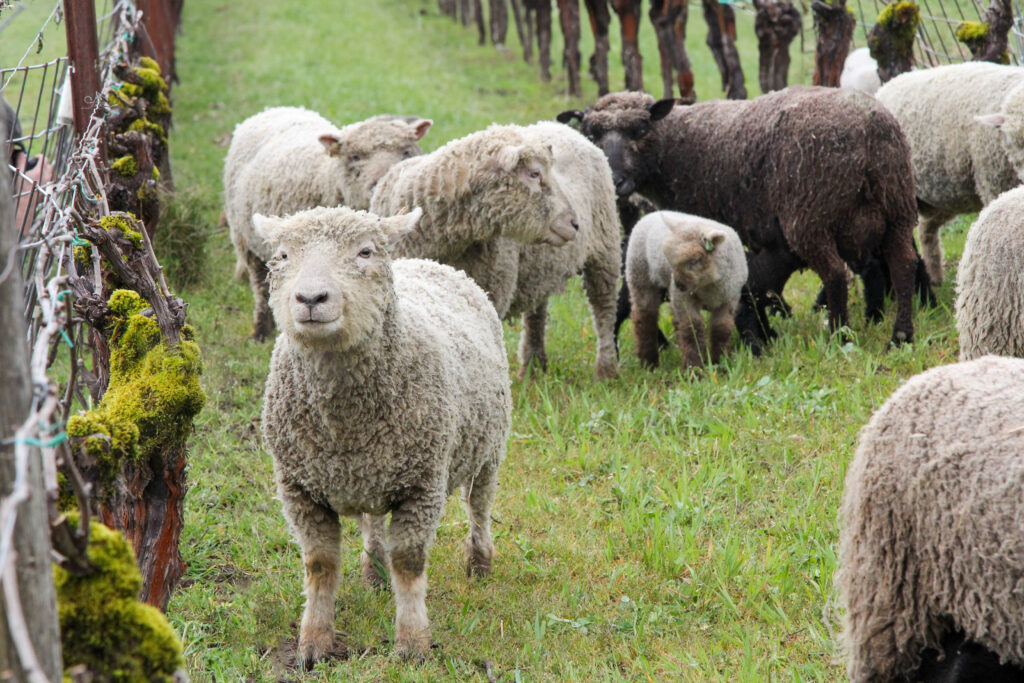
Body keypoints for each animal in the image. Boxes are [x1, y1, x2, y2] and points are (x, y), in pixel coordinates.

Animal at [224, 106, 432, 340]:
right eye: (355, 156)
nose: (380, 182)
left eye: (406, 152)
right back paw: (261, 329)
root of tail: (276, 108)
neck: (327, 176)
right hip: (245, 240)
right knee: (259, 286)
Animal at [255, 205, 511, 665]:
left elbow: (409, 563)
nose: (311, 299)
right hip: (375, 469)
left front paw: (413, 643)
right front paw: (313, 643)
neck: (344, 424)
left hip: (489, 447)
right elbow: (319, 566)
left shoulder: (423, 485)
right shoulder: (299, 488)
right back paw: (373, 571)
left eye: (365, 252)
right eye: (282, 256)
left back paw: (480, 564)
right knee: (373, 521)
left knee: (479, 508)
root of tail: (427, 261)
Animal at [371, 122, 621, 380]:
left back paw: (606, 370)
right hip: (540, 268)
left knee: (604, 308)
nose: (575, 224)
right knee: (537, 313)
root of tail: (559, 126)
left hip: (606, 246)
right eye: (534, 173)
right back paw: (533, 367)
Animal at [625, 210, 747, 369]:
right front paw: (694, 368)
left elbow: (721, 329)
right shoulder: (684, 298)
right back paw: (649, 363)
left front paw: (720, 363)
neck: (709, 283)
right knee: (644, 318)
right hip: (640, 275)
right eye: (671, 261)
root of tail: (649, 215)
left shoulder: (729, 298)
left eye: (695, 261)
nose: (679, 285)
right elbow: (692, 329)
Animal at [875, 62, 1024, 285]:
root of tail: (885, 87)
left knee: (926, 229)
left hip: (942, 196)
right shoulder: (992, 184)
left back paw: (934, 276)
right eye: (1013, 144)